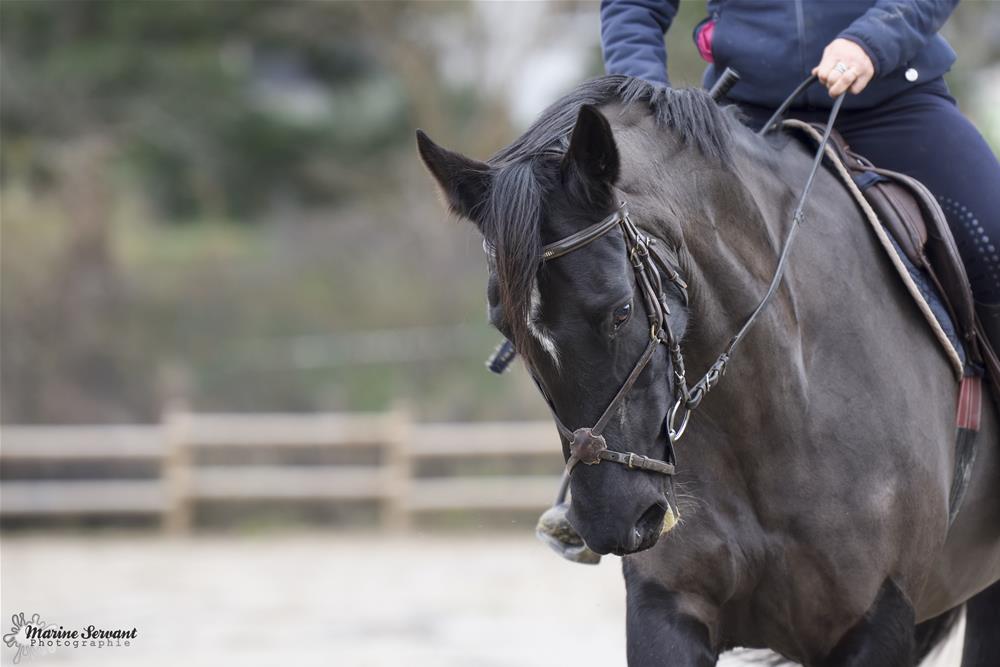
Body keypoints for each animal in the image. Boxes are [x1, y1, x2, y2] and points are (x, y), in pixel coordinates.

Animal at [416, 77, 1000, 664]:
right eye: (505, 327)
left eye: (620, 310)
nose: (616, 521)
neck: (778, 406)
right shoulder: (666, 609)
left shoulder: (878, 619)